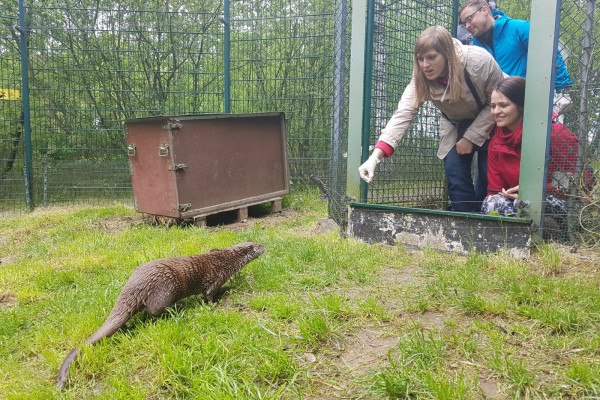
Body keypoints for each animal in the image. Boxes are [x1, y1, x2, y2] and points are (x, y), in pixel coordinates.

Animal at [58, 242, 264, 390]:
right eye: (257, 245)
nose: (265, 246)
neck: (226, 259)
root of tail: (135, 284)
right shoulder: (215, 279)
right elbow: (209, 296)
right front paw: (219, 298)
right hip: (166, 287)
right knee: (154, 310)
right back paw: (178, 307)